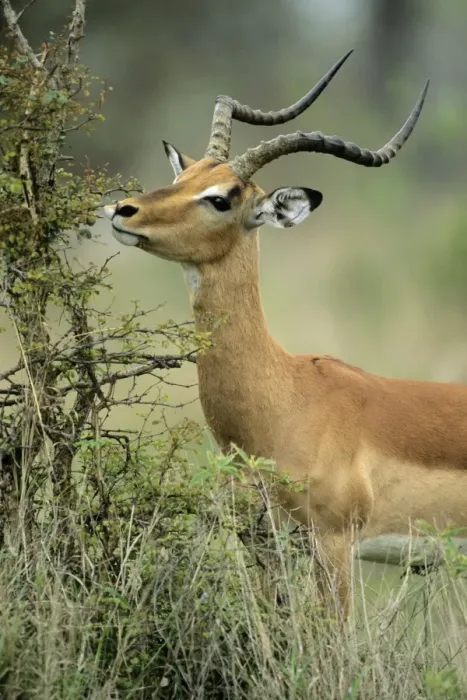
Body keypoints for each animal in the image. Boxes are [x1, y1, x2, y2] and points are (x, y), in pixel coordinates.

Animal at [105, 51, 467, 617]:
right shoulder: (261, 541)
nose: (124, 211)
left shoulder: (334, 544)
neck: (286, 396)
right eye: (186, 175)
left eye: (222, 199)